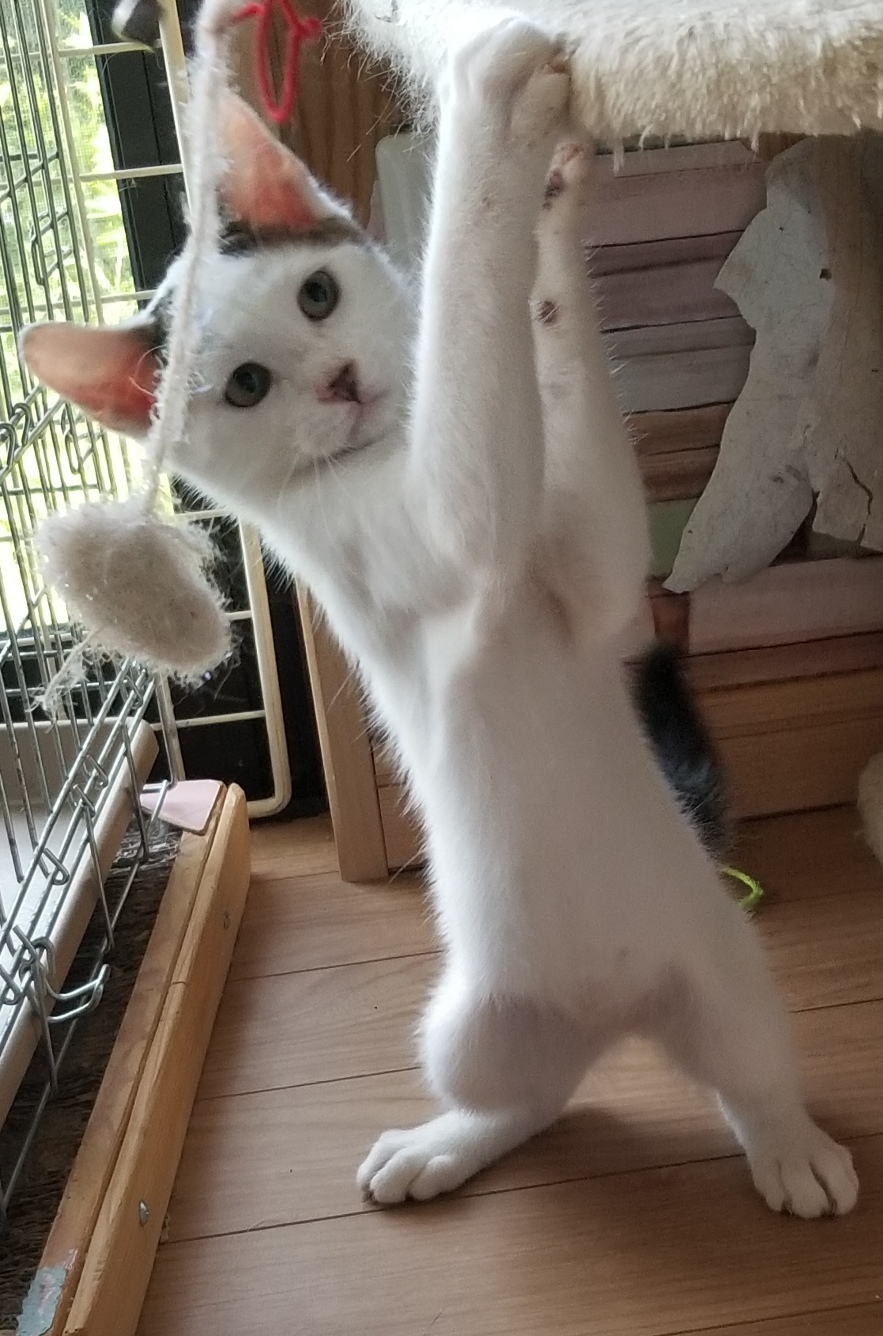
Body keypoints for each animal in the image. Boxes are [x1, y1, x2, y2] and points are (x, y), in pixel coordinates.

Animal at [21, 17, 857, 1217]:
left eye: (317, 295)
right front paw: (480, 110)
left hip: (722, 965)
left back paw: (785, 1143)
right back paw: (441, 1149)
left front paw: (548, 222)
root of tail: (615, 1018)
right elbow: (465, 340)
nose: (340, 380)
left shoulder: (584, 578)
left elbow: (596, 520)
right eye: (246, 386)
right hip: (459, 1026)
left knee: (733, 1074)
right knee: (525, 1098)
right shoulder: (446, 524)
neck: (380, 456)